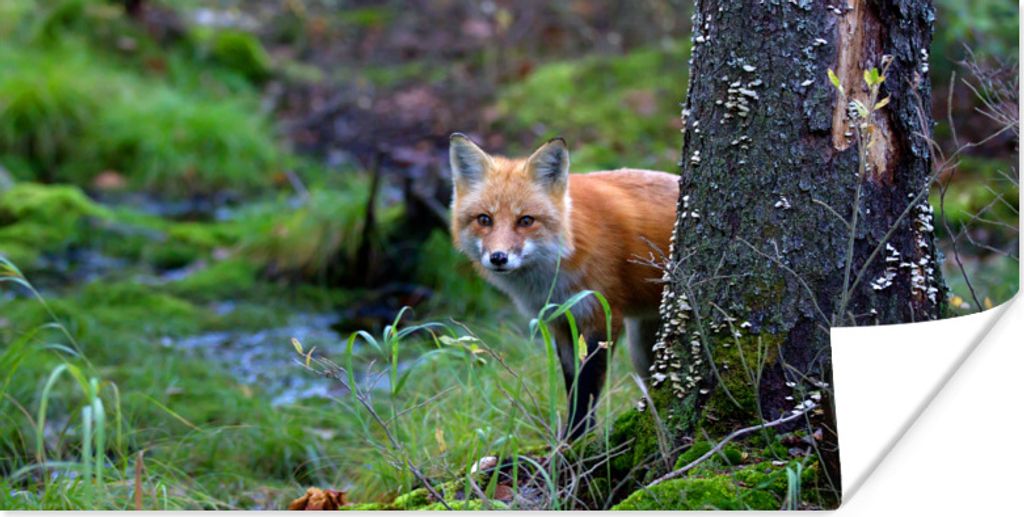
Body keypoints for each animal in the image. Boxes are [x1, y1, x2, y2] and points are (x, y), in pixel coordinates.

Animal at [448, 132, 680, 439]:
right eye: (485, 219)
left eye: (525, 220)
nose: (498, 258)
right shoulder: (560, 319)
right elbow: (572, 383)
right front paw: (572, 438)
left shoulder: (602, 314)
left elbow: (588, 387)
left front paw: (579, 441)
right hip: (642, 346)